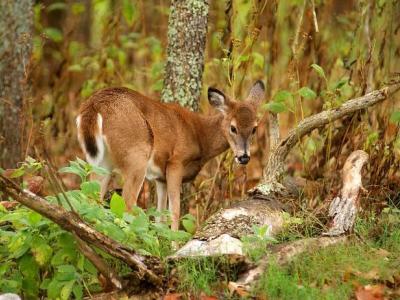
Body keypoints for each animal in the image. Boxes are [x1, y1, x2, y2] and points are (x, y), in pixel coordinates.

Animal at [77, 80, 266, 230]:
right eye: (233, 128)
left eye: (254, 128)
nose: (244, 157)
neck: (200, 136)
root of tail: (95, 106)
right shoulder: (175, 162)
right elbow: (174, 211)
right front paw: (174, 245)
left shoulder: (161, 178)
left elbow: (160, 214)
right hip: (136, 155)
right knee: (127, 202)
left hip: (101, 162)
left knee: (91, 196)